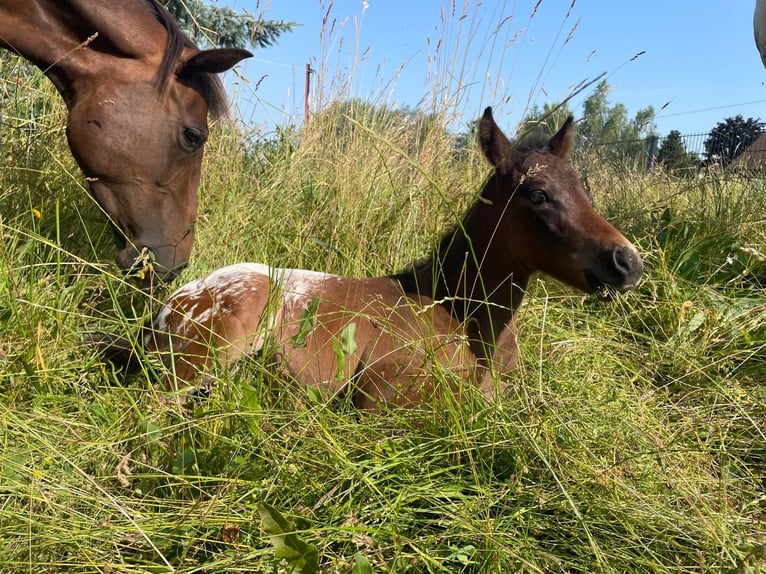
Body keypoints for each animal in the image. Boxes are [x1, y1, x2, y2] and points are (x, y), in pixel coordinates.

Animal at [136, 107, 643, 410]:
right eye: (538, 195)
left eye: (584, 190)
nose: (627, 263)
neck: (460, 314)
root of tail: (167, 308)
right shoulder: (380, 394)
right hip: (207, 354)